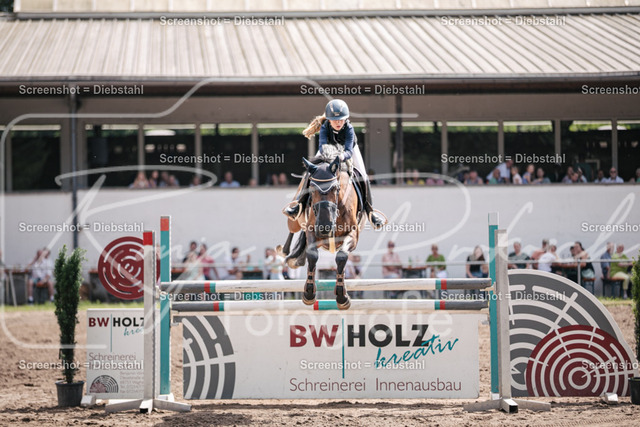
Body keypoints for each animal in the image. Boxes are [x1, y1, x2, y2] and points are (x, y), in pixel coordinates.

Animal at [279, 148, 364, 309]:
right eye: (311, 188)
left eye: (336, 188)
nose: (325, 227)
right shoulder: (311, 229)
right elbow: (312, 254)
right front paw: (309, 294)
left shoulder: (353, 234)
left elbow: (342, 256)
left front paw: (342, 297)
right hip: (295, 219)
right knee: (293, 227)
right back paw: (287, 253)